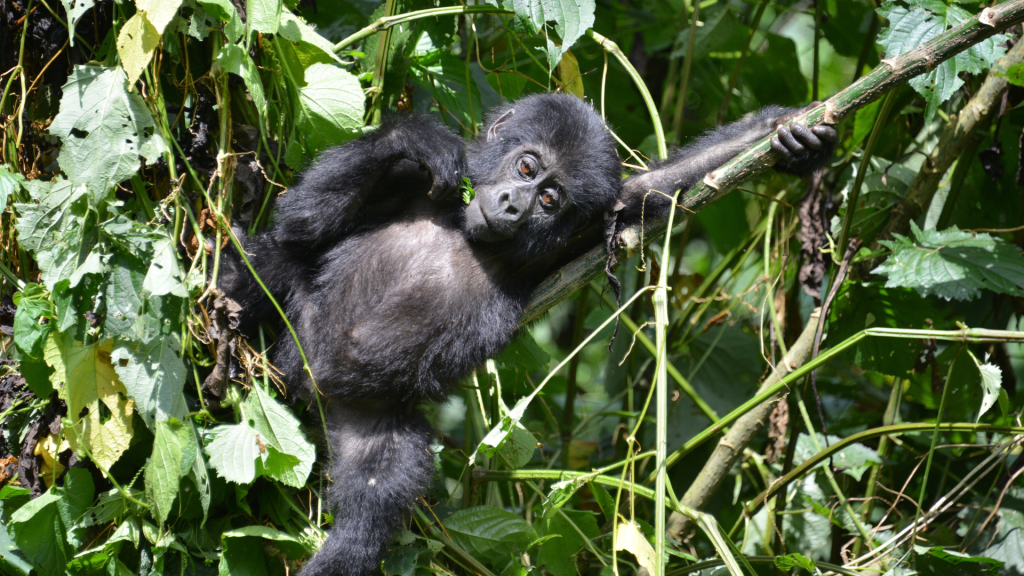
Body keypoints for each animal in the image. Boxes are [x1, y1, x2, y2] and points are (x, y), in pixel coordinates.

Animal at [216, 93, 836, 576]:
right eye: (525, 168)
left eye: (549, 199)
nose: (514, 205)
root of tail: (305, 384)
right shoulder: (407, 184)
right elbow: (301, 221)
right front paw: (413, 136)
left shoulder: (593, 222)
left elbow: (665, 189)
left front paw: (791, 135)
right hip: (296, 334)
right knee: (271, 261)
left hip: (360, 408)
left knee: (376, 497)